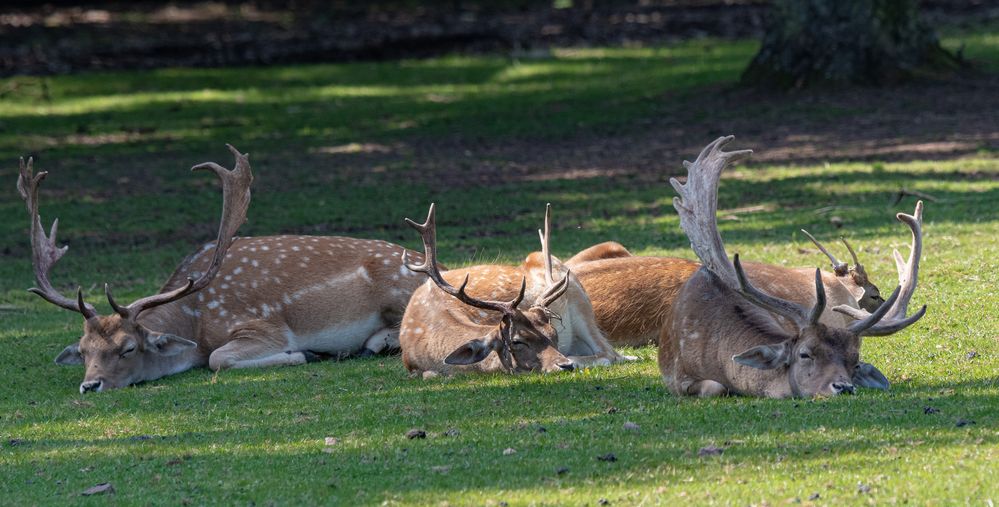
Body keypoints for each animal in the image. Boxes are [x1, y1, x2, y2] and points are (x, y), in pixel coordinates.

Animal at [20, 145, 430, 394]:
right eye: (84, 350)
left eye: (128, 348)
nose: (90, 385)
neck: (194, 321)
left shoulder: (264, 327)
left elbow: (219, 359)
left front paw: (306, 355)